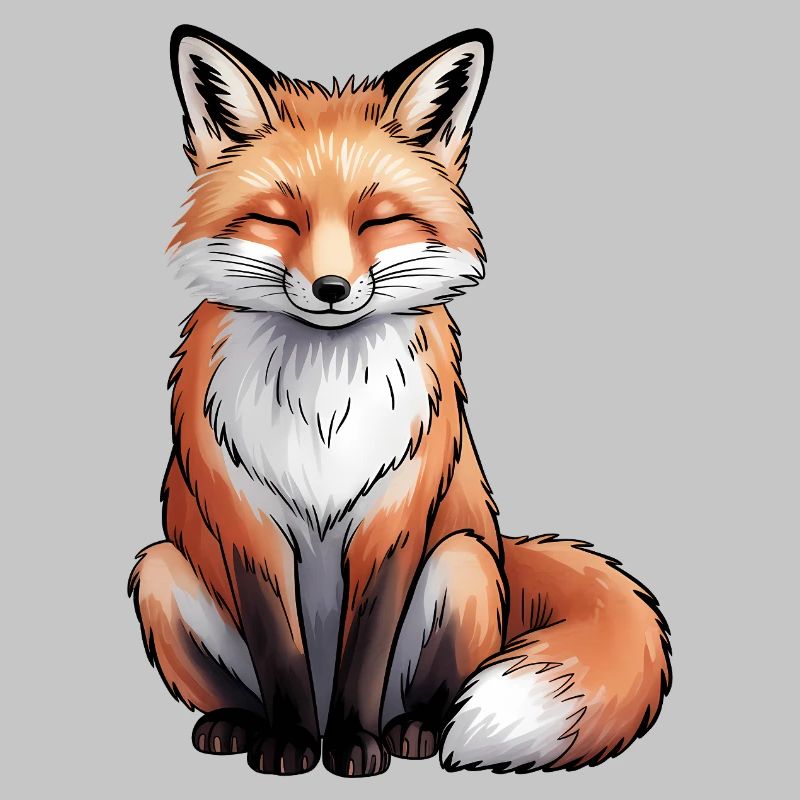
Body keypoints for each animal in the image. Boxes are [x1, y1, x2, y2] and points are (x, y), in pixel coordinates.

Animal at [128, 25, 671, 778]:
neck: (324, 409)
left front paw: (353, 747)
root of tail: (504, 547)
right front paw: (291, 746)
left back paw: (409, 733)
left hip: (463, 563)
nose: (330, 288)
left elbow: (366, 650)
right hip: (158, 569)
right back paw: (238, 725)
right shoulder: (248, 525)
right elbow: (279, 649)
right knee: (237, 687)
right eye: (277, 219)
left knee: (431, 696)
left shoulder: (393, 517)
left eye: (378, 221)